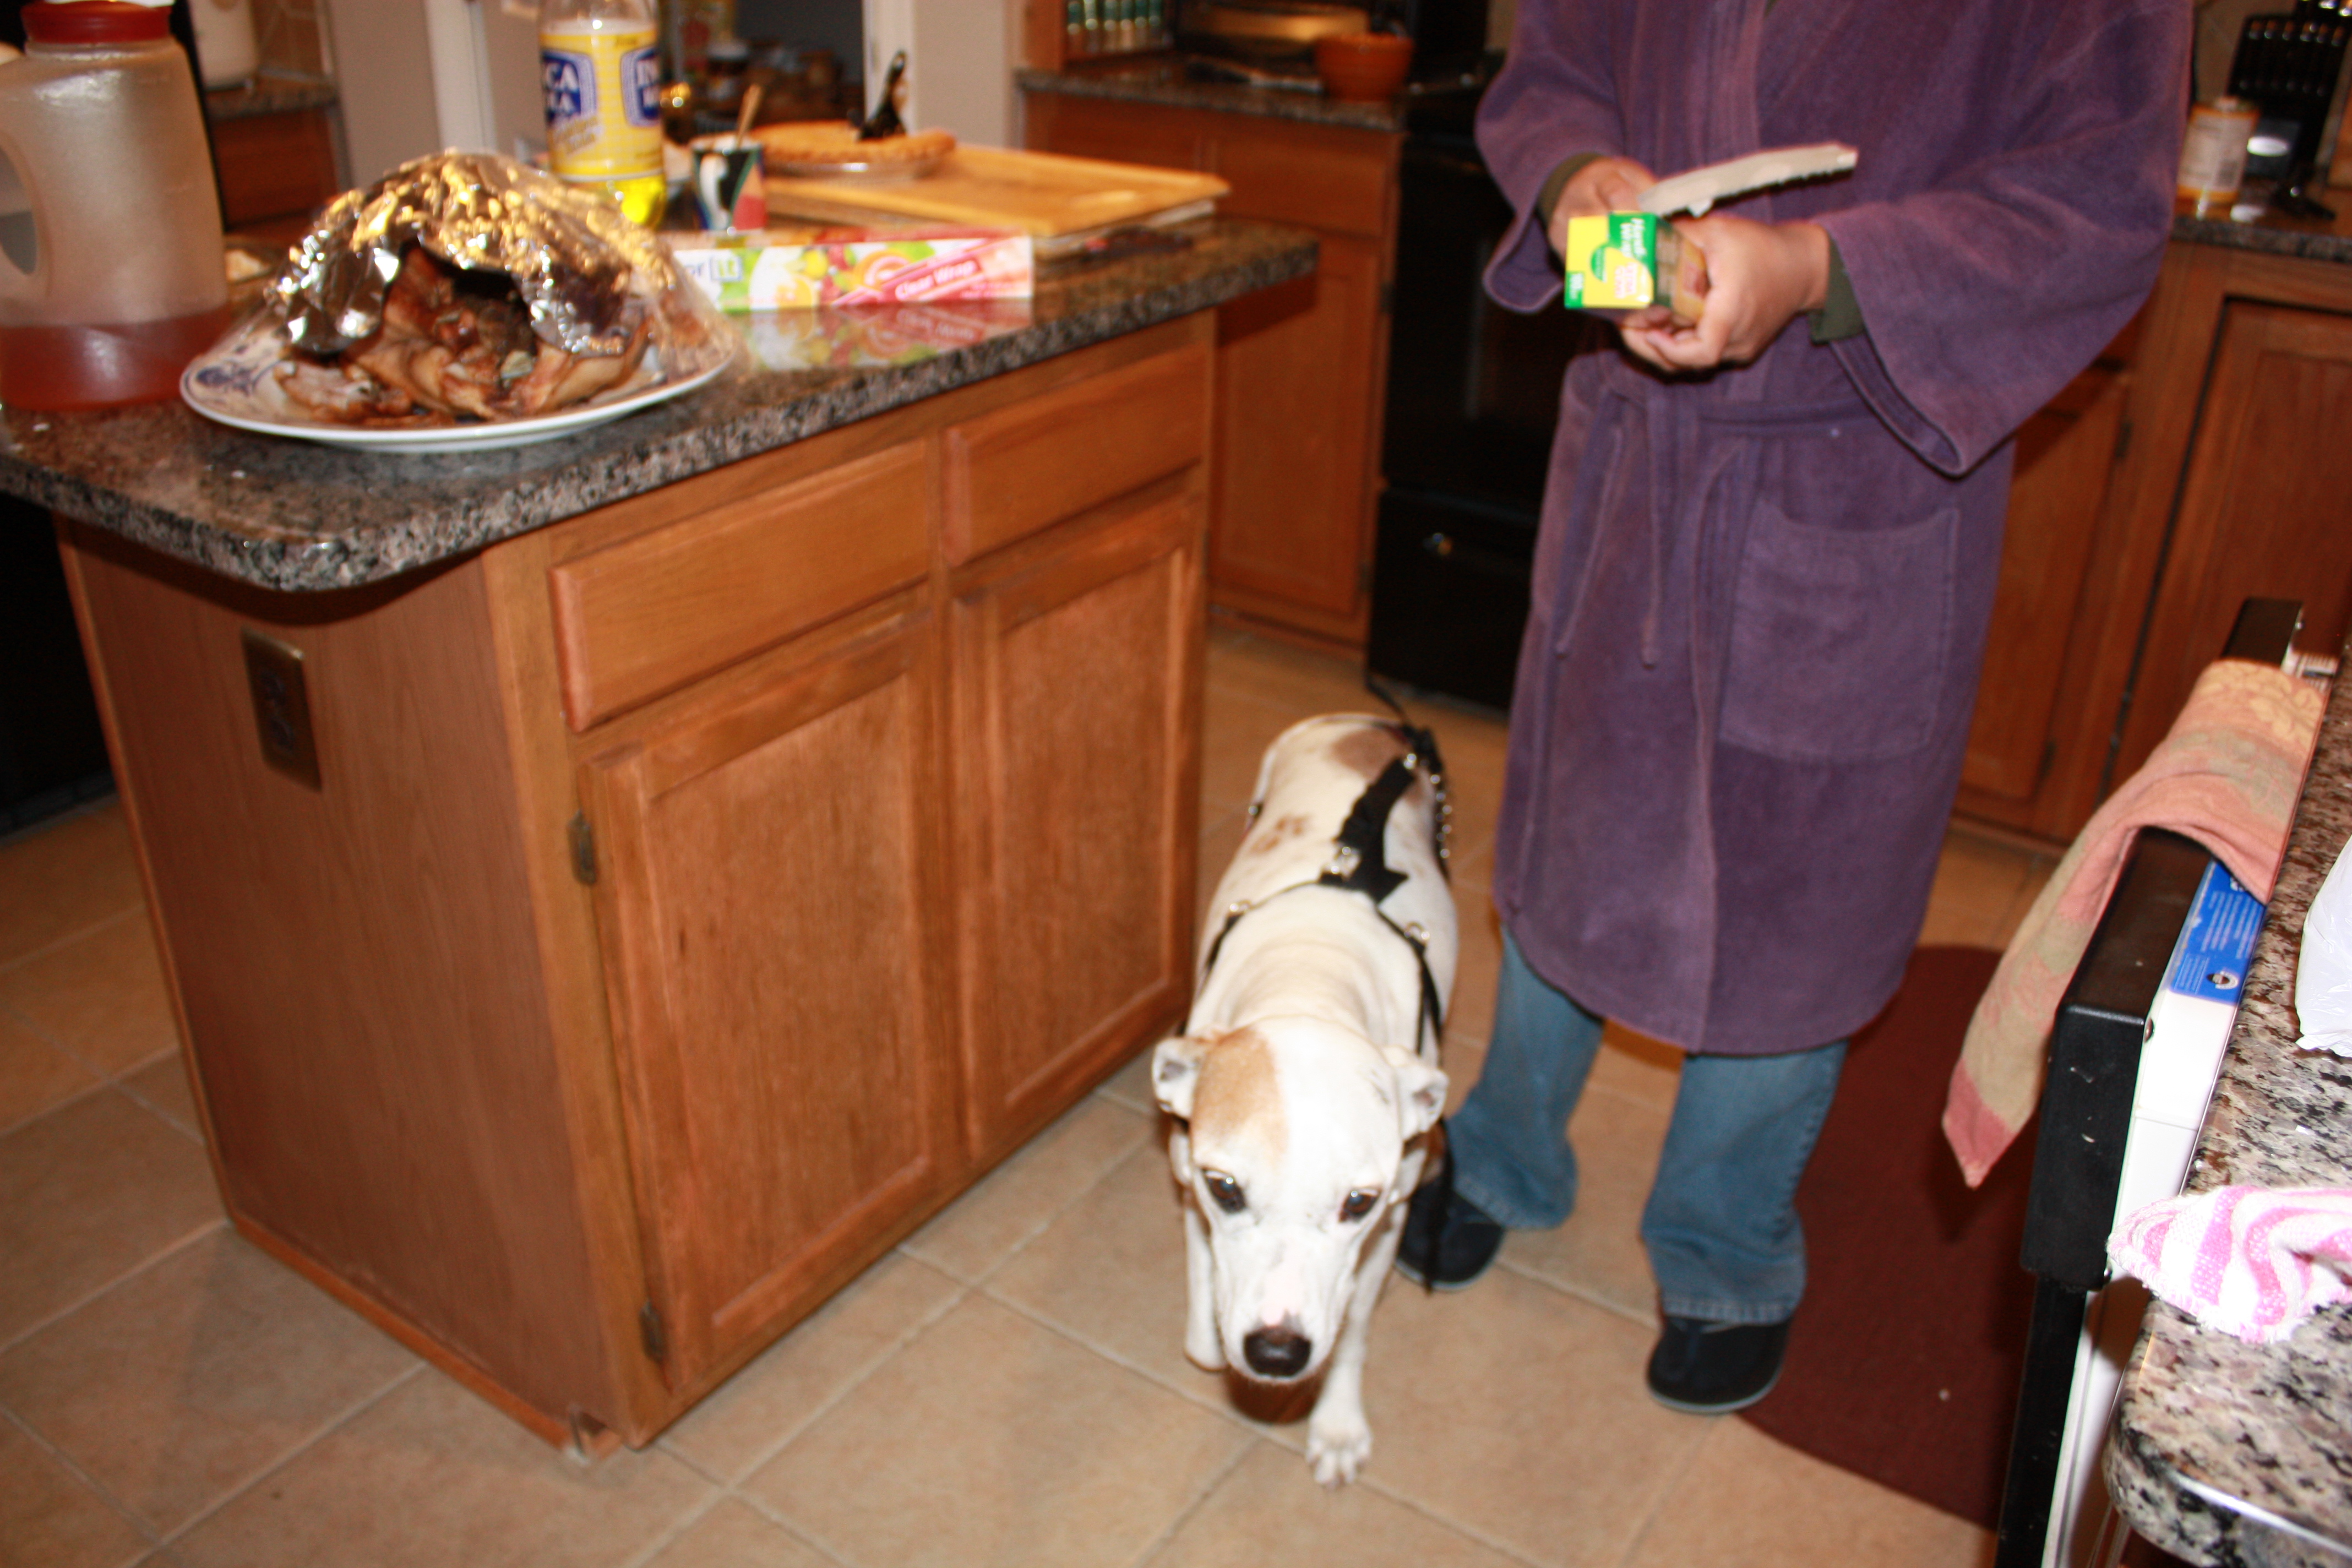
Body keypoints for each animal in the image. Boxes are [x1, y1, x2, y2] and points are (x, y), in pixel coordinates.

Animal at [1151, 712, 1455, 1487]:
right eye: (1225, 1187)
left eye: (1359, 1202)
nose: (1276, 1352)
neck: (1310, 974)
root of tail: (1372, 724)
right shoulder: (1186, 1179)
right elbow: (1204, 1310)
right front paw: (1210, 1330)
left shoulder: (1390, 1218)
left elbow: (1353, 1332)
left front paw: (1338, 1425)